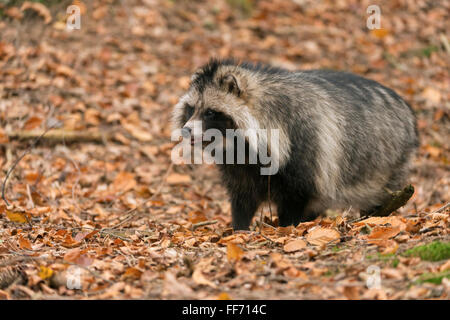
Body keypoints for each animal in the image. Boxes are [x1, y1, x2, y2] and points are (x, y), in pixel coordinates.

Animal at [172, 58, 418, 230]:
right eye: (191, 109)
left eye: (210, 112)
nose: (186, 129)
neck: (239, 145)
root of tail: (406, 108)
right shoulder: (240, 167)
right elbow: (242, 198)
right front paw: (239, 229)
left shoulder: (304, 143)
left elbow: (296, 198)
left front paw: (287, 228)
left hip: (386, 162)